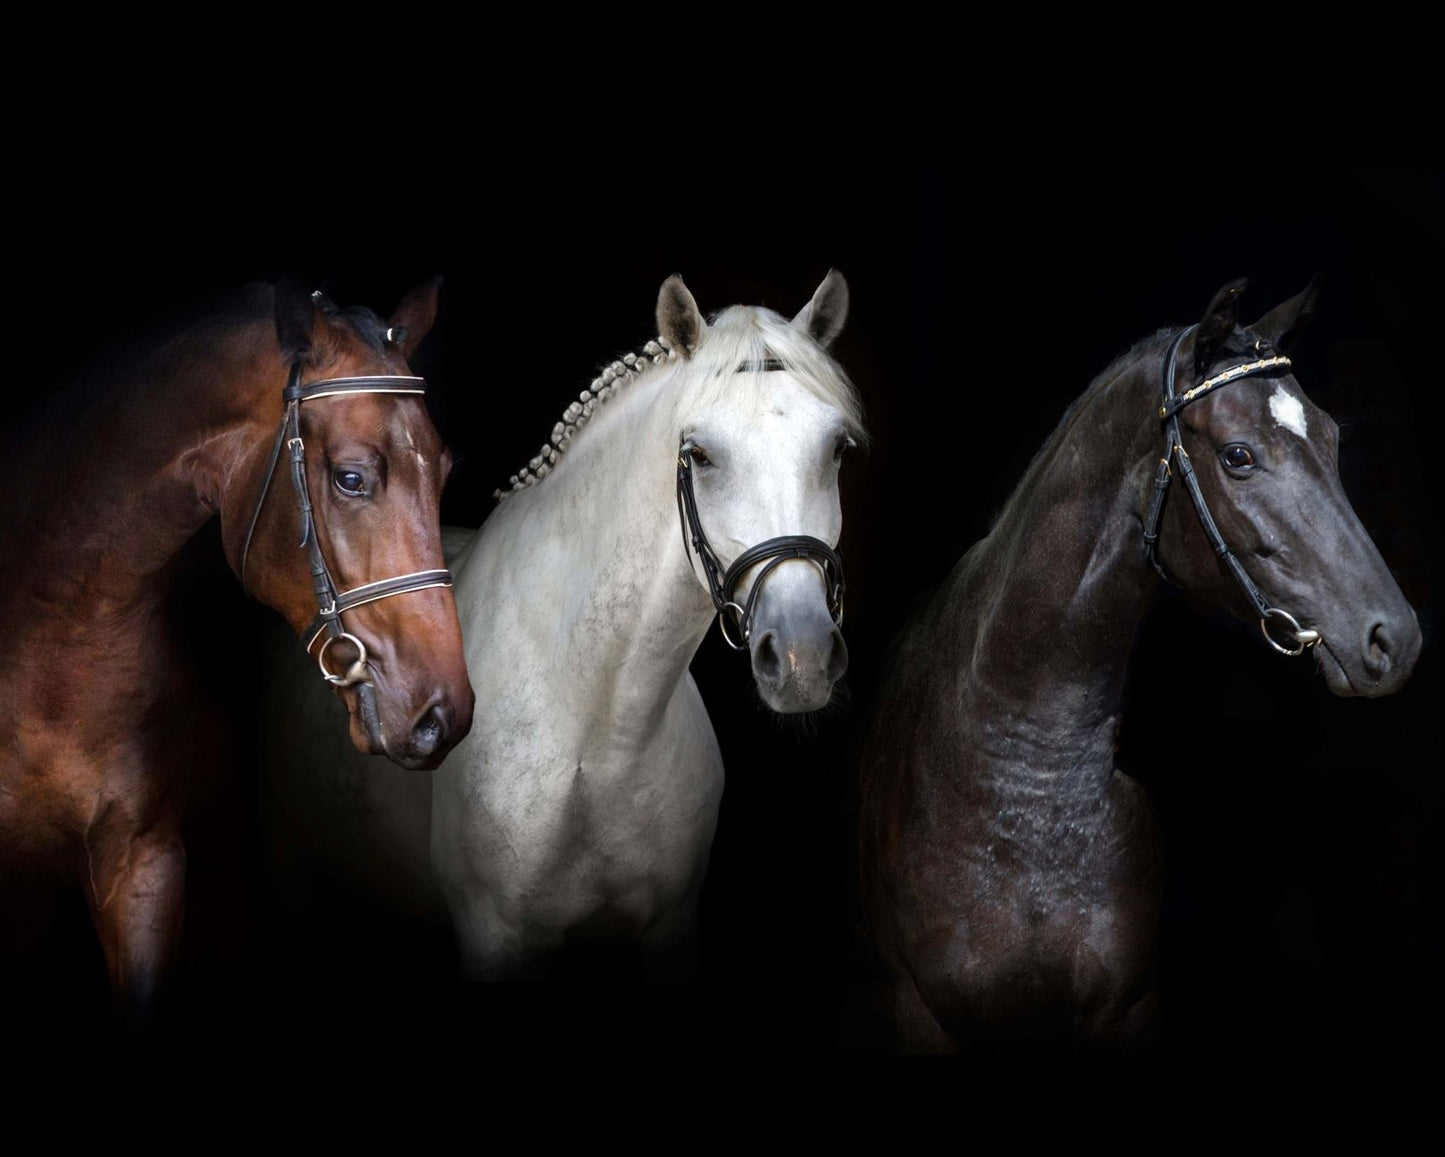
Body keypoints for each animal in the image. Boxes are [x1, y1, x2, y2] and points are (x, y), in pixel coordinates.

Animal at [263, 271, 861, 977]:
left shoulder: (671, 926)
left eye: (837, 448)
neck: (598, 733)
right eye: (699, 454)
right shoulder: (494, 936)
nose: (802, 657)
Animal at [859, 279, 1421, 1053]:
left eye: (1333, 439)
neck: (1025, 784)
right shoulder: (923, 1014)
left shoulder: (1127, 1009)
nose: (1394, 639)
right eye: (1239, 456)